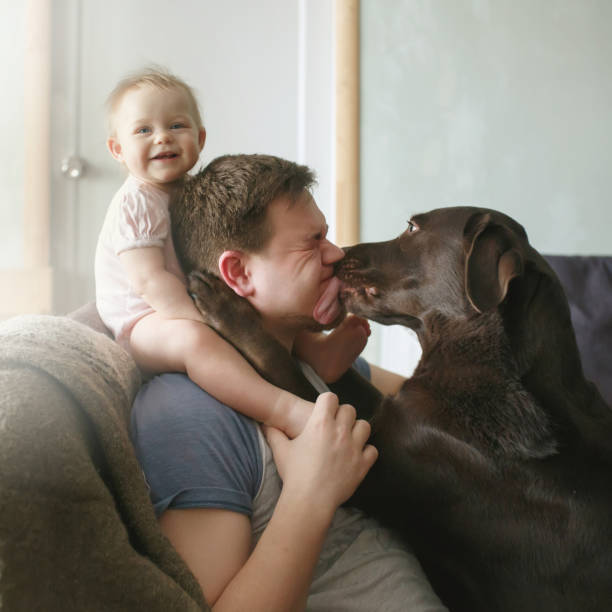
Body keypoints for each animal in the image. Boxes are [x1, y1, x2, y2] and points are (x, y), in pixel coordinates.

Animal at [189, 207, 612, 612]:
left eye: (412, 228)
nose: (339, 253)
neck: (490, 363)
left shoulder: (372, 465)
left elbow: (281, 361)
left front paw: (227, 306)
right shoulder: (388, 412)